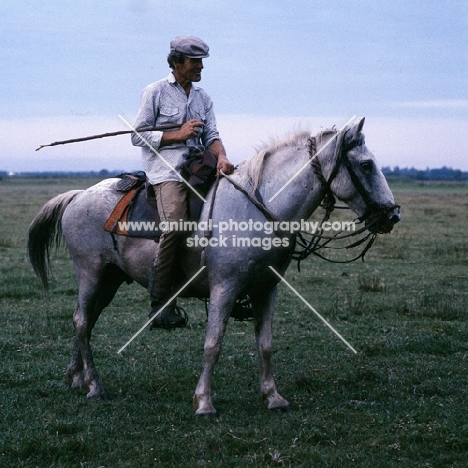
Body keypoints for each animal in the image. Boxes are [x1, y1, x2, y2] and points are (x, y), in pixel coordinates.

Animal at [28, 117, 398, 416]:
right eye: (366, 165)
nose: (392, 215)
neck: (258, 208)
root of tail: (77, 195)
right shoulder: (224, 288)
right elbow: (213, 344)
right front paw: (204, 402)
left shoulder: (266, 290)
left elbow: (265, 345)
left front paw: (273, 398)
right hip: (92, 273)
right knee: (81, 321)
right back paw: (94, 386)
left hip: (110, 279)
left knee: (84, 321)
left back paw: (76, 378)